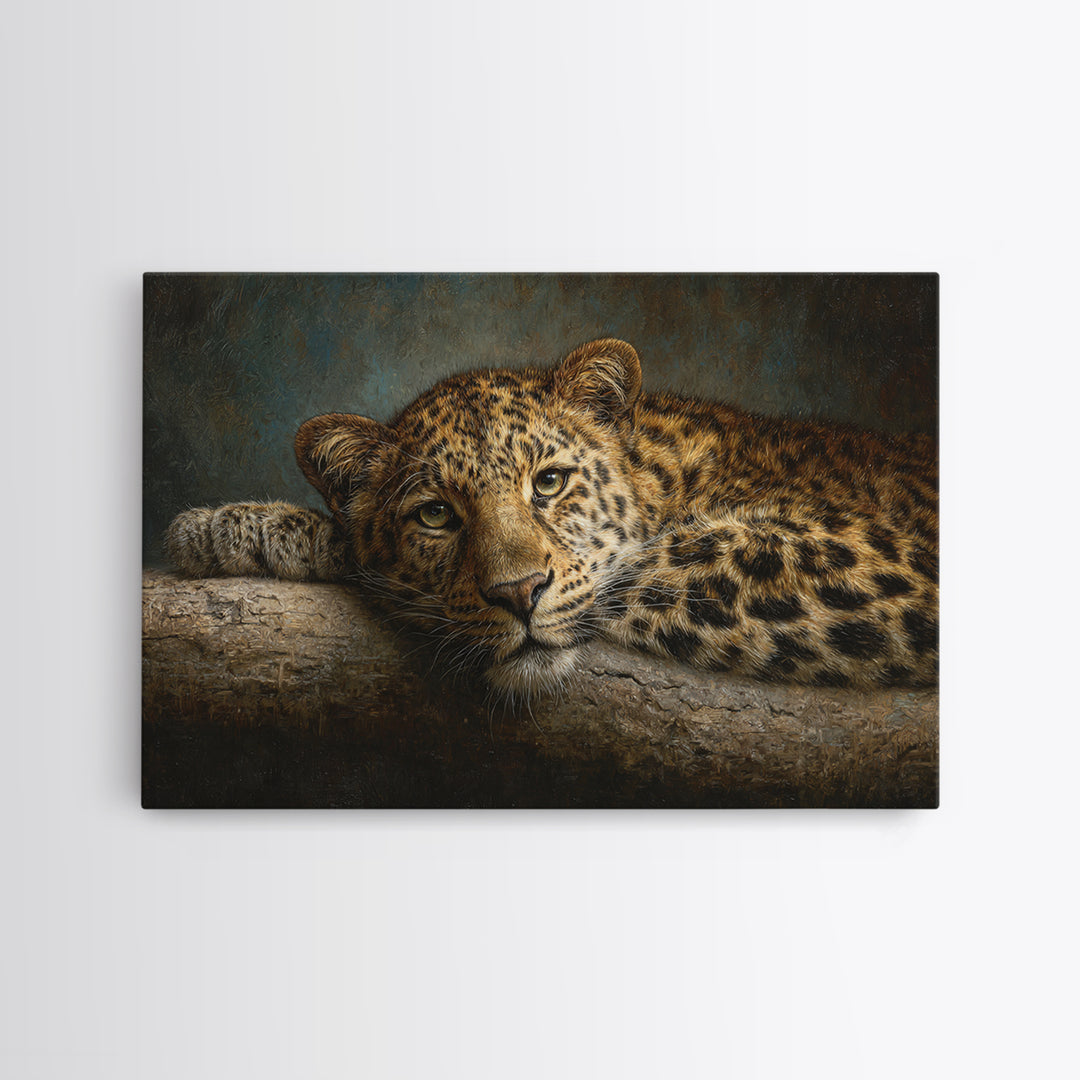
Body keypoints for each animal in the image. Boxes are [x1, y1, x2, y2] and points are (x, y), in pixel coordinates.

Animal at [165, 338, 939, 696]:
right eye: (436, 515)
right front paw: (238, 529)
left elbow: (637, 568)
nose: (517, 594)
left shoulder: (880, 561)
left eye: (550, 482)